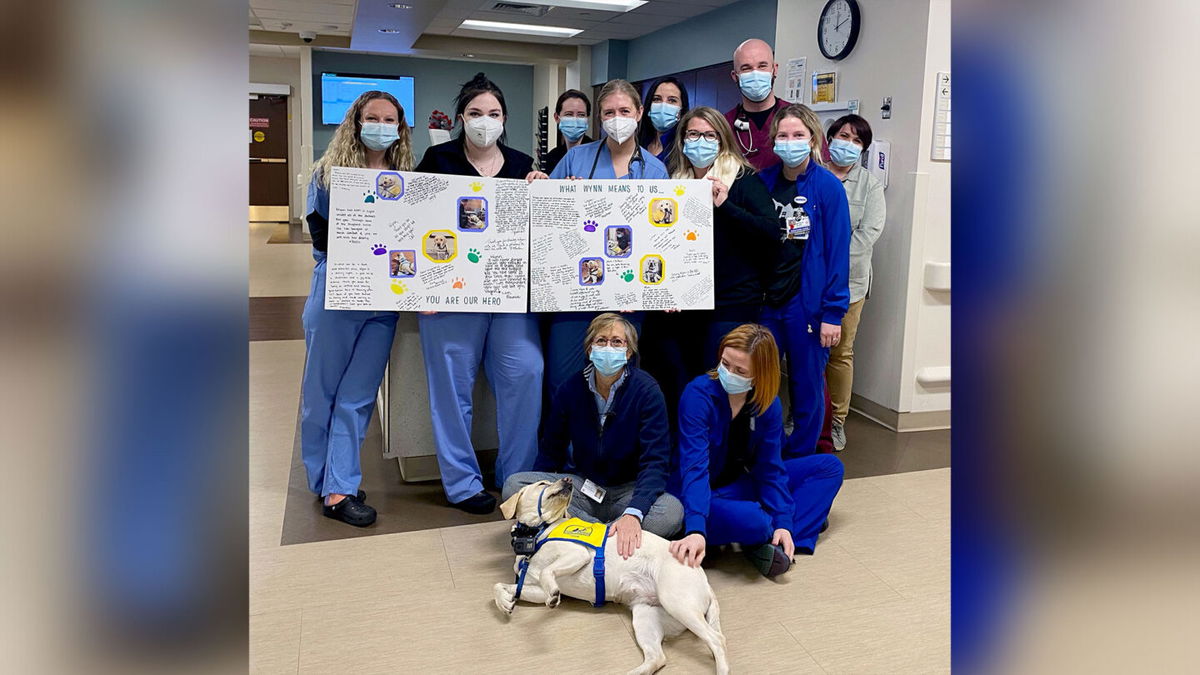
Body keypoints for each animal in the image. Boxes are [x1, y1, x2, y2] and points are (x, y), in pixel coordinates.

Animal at [492, 475, 724, 667]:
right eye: (542, 484)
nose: (567, 479)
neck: (535, 534)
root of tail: (706, 582)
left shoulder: (577, 554)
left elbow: (546, 572)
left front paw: (552, 595)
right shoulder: (536, 590)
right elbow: (499, 586)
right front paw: (505, 602)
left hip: (677, 603)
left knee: (717, 641)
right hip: (646, 617)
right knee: (657, 658)